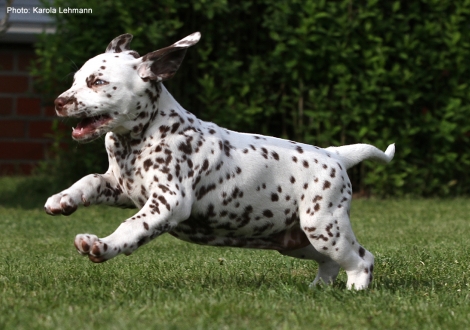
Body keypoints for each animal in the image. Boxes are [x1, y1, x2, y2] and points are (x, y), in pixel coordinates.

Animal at [46, 32, 394, 290]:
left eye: (97, 82)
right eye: (75, 80)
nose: (58, 102)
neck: (140, 139)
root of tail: (335, 154)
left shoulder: (168, 202)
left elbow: (133, 226)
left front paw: (101, 245)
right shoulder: (123, 189)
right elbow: (90, 180)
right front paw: (63, 199)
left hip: (323, 226)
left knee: (362, 259)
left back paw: (355, 289)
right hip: (296, 239)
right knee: (335, 262)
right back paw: (318, 288)